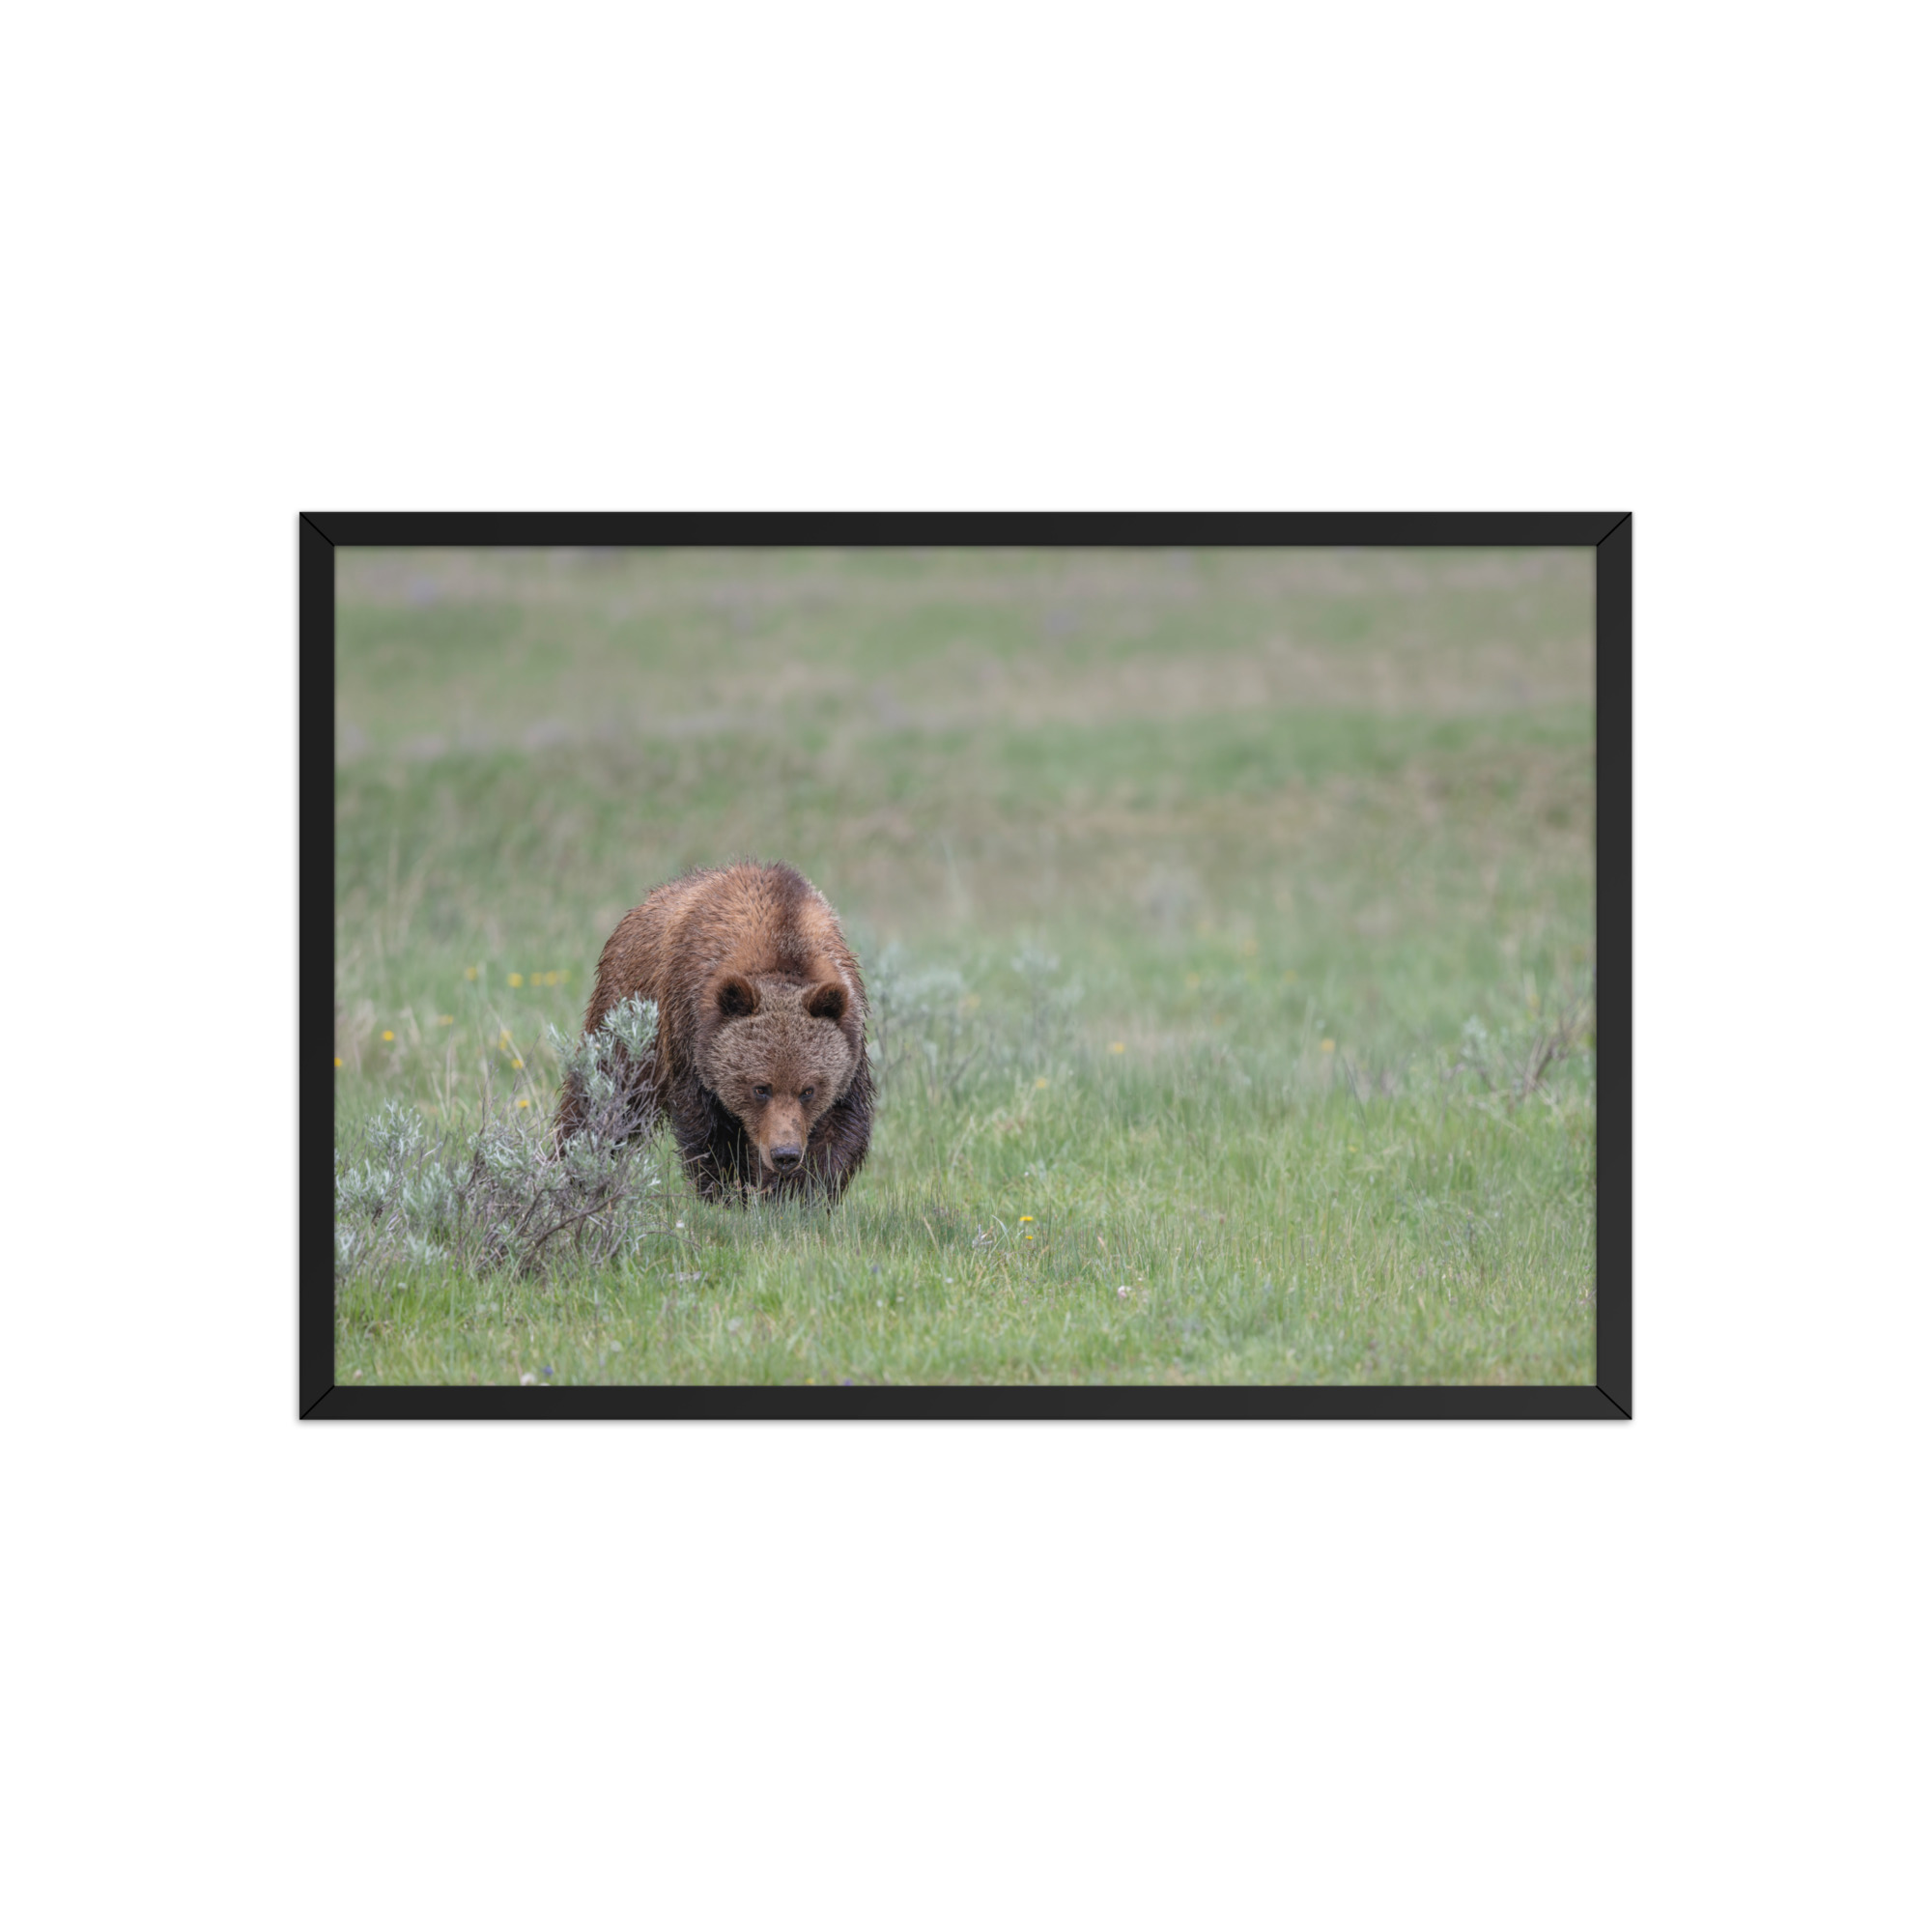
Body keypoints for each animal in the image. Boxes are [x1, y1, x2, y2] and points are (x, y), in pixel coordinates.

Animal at [556, 861, 873, 1203]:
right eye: (760, 1088)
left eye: (808, 1090)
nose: (784, 1154)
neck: (782, 944)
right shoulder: (690, 1033)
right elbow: (708, 1130)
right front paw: (728, 1192)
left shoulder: (850, 1042)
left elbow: (839, 1127)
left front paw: (797, 1195)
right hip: (628, 1013)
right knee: (604, 1093)